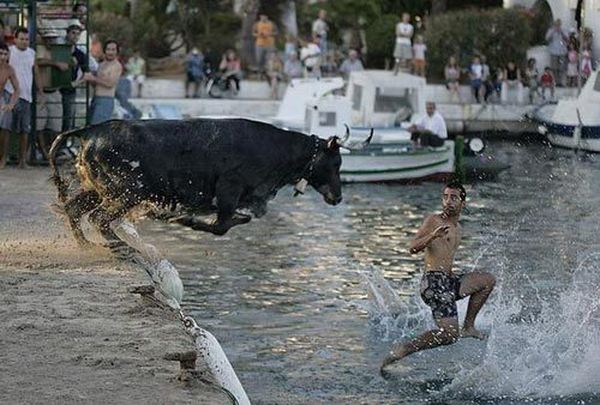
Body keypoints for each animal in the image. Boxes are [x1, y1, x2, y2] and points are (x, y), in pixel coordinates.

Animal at [49, 117, 360, 249]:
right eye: (335, 163)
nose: (338, 197)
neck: (275, 149)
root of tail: (91, 130)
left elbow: (239, 219)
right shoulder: (229, 189)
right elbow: (222, 226)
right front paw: (183, 220)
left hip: (97, 189)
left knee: (74, 209)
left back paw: (85, 244)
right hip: (128, 191)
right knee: (100, 218)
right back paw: (119, 244)